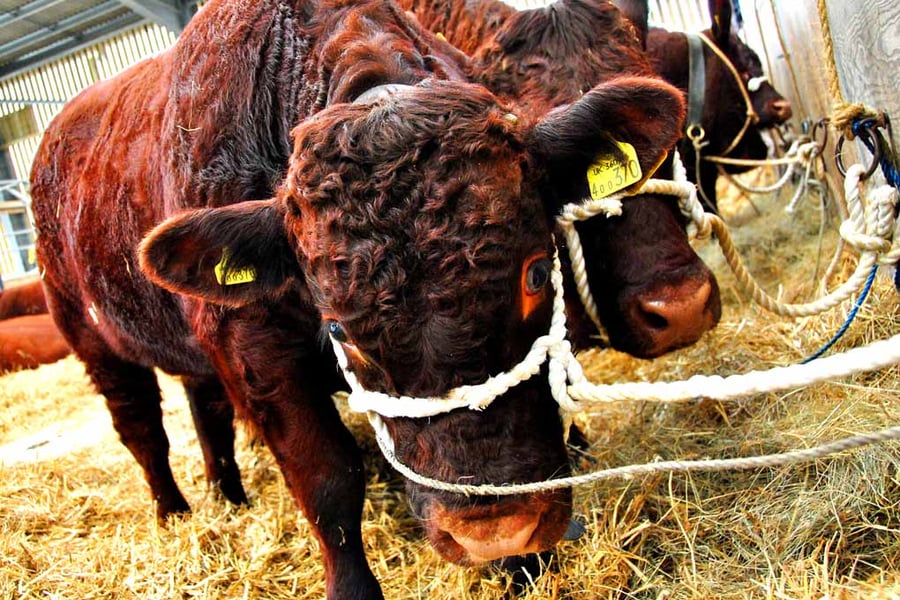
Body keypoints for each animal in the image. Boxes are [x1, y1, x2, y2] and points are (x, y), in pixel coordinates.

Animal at [29, 0, 687, 596]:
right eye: (337, 327)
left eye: (535, 275)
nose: (492, 532)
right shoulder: (257, 350)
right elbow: (327, 478)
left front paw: (526, 565)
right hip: (88, 334)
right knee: (143, 428)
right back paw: (174, 514)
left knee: (204, 407)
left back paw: (228, 496)